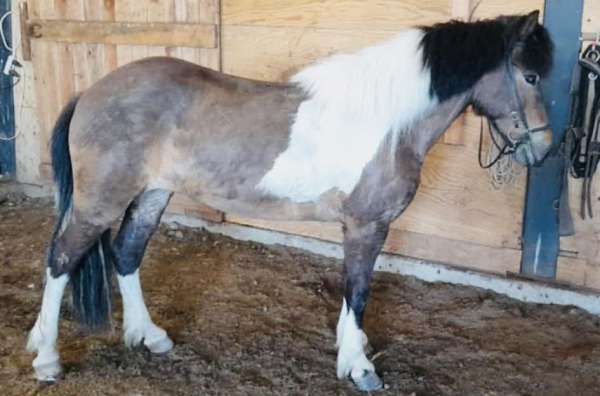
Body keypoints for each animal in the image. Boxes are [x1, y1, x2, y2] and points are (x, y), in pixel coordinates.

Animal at [27, 10, 552, 392]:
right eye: (529, 76)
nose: (545, 149)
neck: (386, 122)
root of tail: (90, 91)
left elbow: (353, 294)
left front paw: (353, 348)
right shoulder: (365, 225)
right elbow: (358, 290)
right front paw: (359, 368)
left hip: (154, 194)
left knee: (126, 254)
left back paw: (149, 337)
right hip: (100, 201)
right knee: (61, 259)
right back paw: (47, 358)